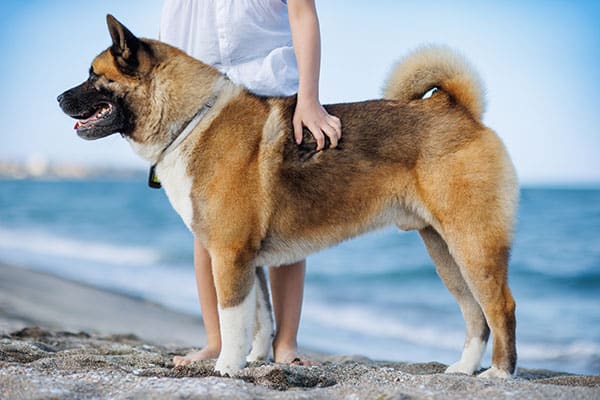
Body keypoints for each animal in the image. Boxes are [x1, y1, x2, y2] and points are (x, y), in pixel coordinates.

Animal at [59, 15, 520, 378]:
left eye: (94, 75)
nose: (59, 97)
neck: (192, 120)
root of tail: (457, 109)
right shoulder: (249, 260)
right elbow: (261, 319)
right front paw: (255, 362)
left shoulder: (229, 255)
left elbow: (232, 318)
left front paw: (226, 367)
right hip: (444, 250)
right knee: (475, 315)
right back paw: (464, 369)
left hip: (472, 245)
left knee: (501, 307)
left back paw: (499, 373)